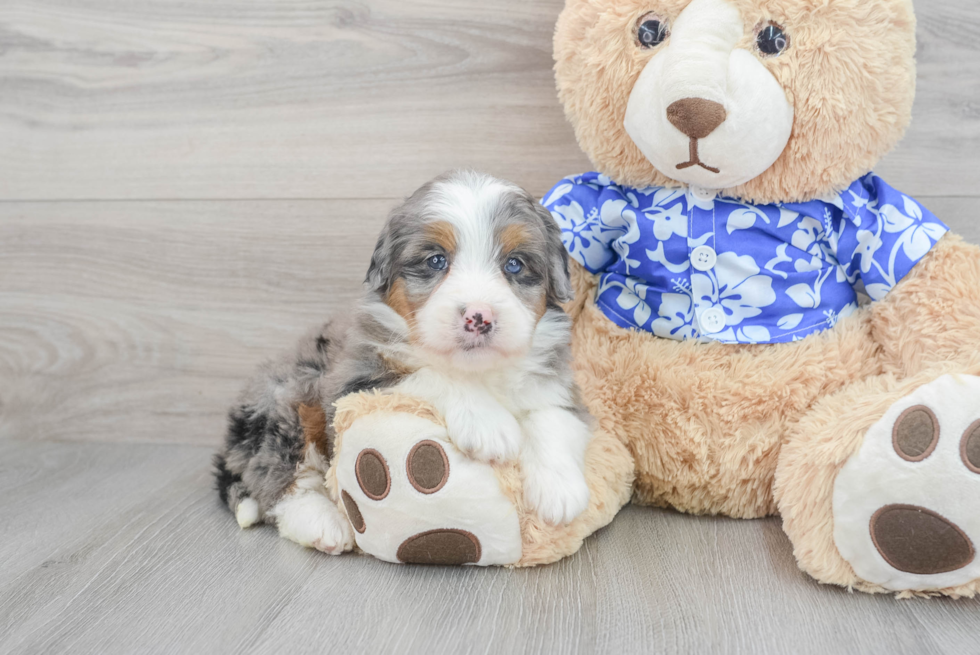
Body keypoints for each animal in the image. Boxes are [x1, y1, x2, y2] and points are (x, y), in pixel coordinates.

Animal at [215, 172, 592, 556]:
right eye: (436, 260)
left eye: (514, 264)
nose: (479, 317)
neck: (478, 370)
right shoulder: (353, 381)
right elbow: (430, 374)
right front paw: (488, 426)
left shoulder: (559, 384)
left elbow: (553, 417)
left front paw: (559, 491)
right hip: (285, 401)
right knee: (281, 478)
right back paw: (323, 523)